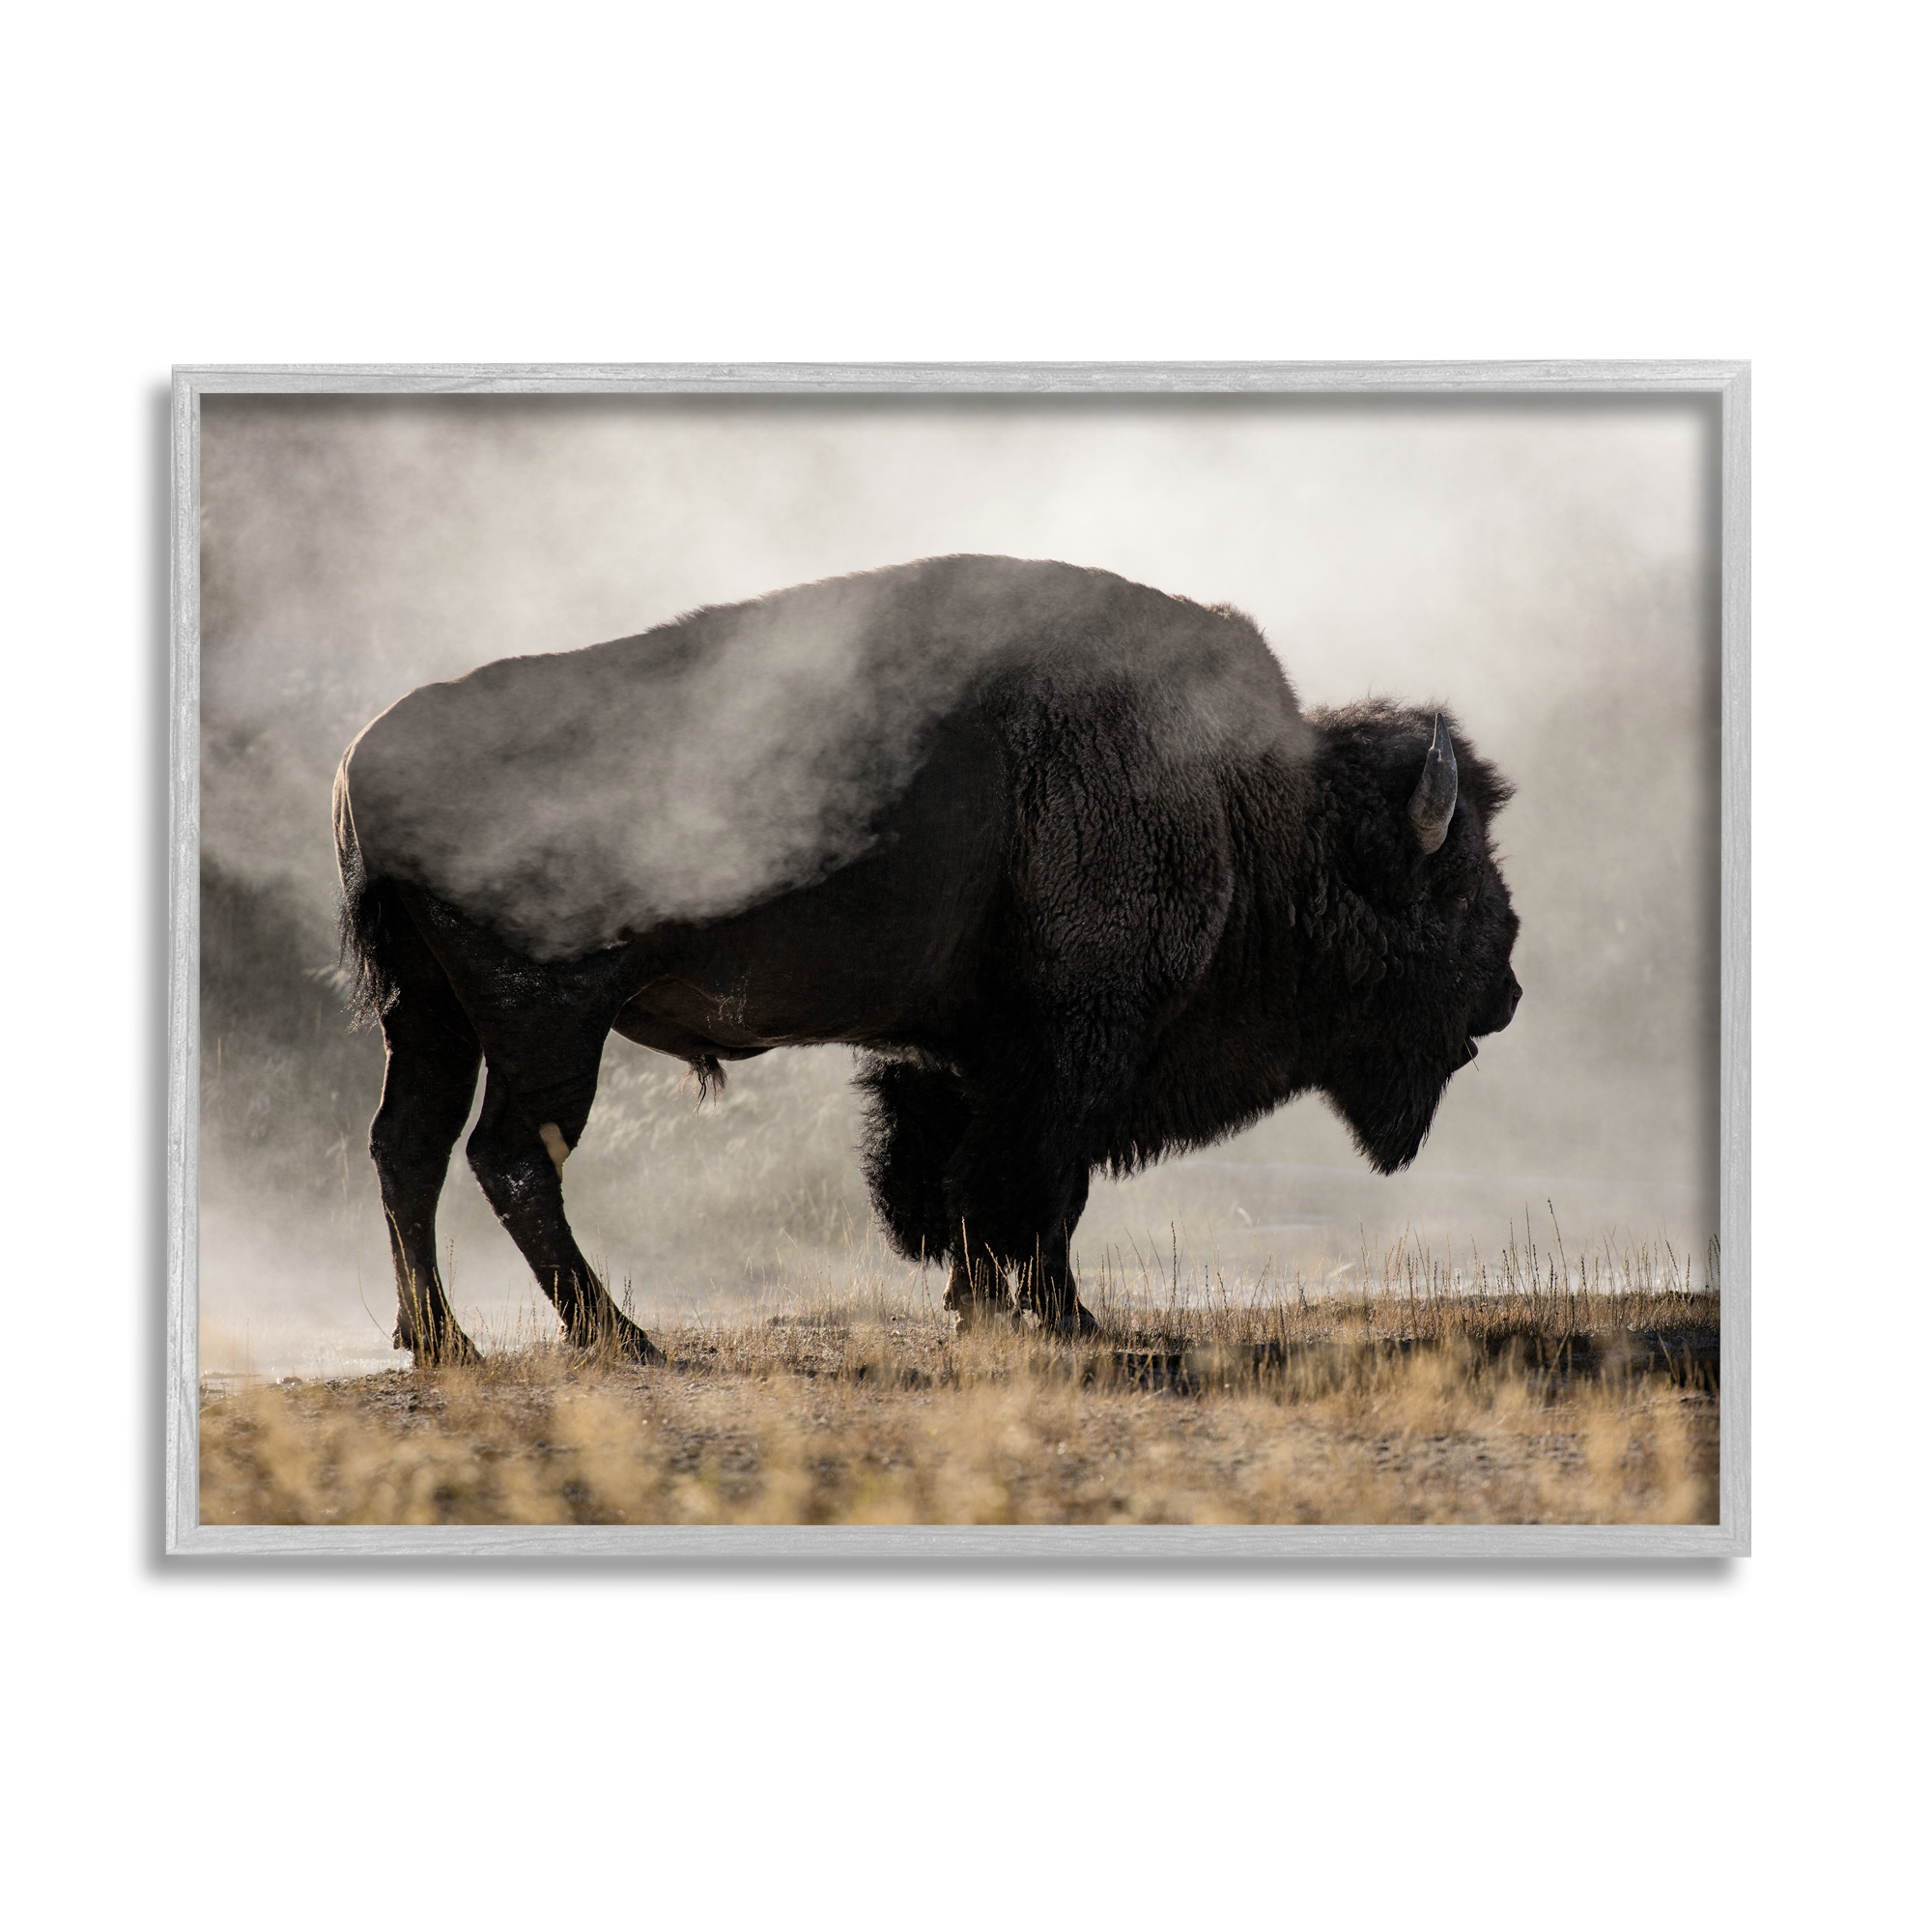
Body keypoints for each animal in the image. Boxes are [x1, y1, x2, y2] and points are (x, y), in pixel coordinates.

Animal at [333, 554, 1521, 1363]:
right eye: (1455, 882)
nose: (1505, 991)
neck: (1244, 800)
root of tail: (364, 760)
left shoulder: (973, 1057)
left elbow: (972, 1182)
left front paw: (994, 1305)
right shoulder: (1072, 1046)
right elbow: (1035, 1184)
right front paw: (1055, 1316)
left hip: (429, 1014)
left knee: (408, 1146)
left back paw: (443, 1342)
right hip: (547, 1021)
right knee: (509, 1155)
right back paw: (622, 1338)